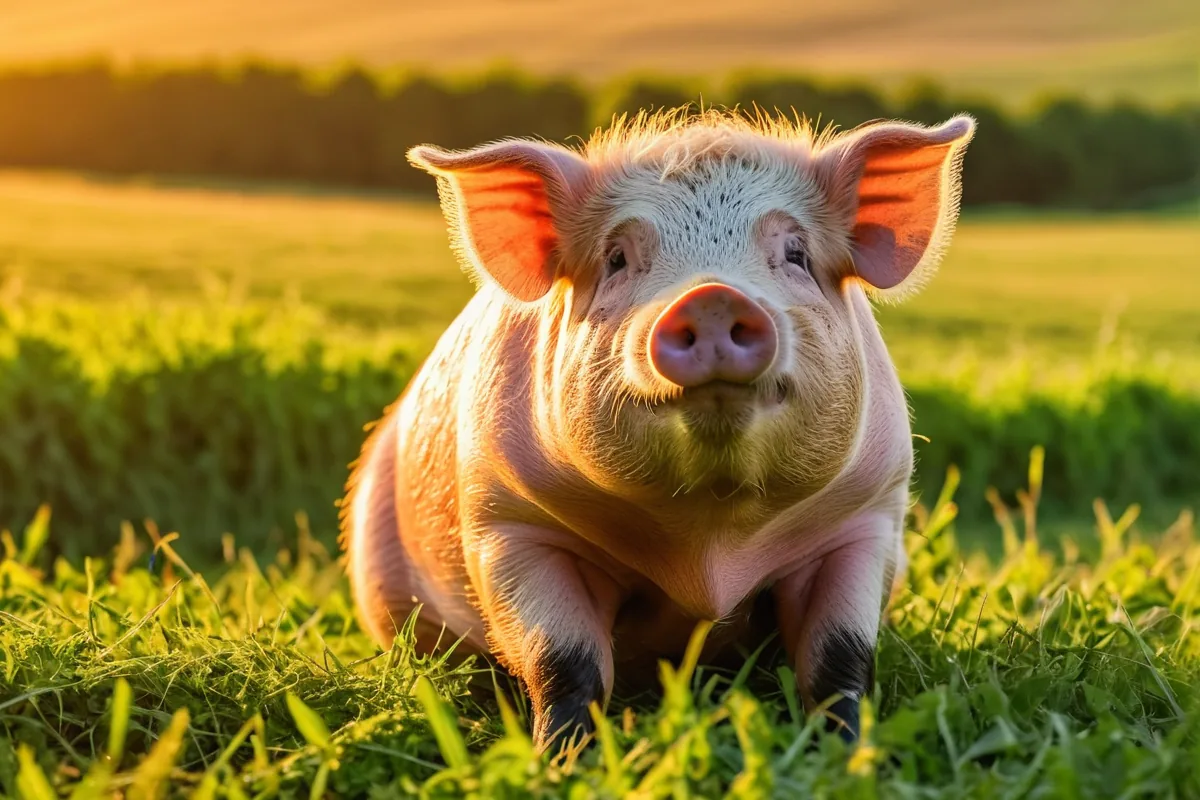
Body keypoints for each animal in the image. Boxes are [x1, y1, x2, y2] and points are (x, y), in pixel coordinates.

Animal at [341, 109, 975, 752]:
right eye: (617, 258)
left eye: (796, 253)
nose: (712, 296)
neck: (709, 543)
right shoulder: (510, 522)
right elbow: (563, 660)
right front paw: (561, 757)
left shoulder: (864, 517)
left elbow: (839, 659)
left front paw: (848, 752)